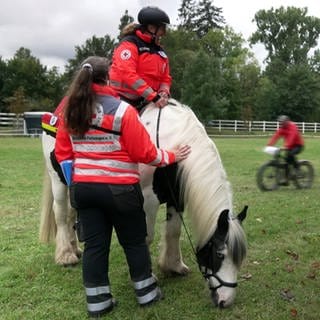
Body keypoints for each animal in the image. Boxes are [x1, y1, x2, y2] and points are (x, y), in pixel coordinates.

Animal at [39, 98, 248, 308]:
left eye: (239, 257)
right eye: (219, 254)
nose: (225, 300)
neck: (172, 138)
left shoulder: (176, 197)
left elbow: (174, 231)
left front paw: (173, 266)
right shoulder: (148, 199)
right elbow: (146, 237)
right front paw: (150, 277)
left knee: (72, 215)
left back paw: (75, 249)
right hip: (58, 180)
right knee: (61, 215)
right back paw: (65, 256)